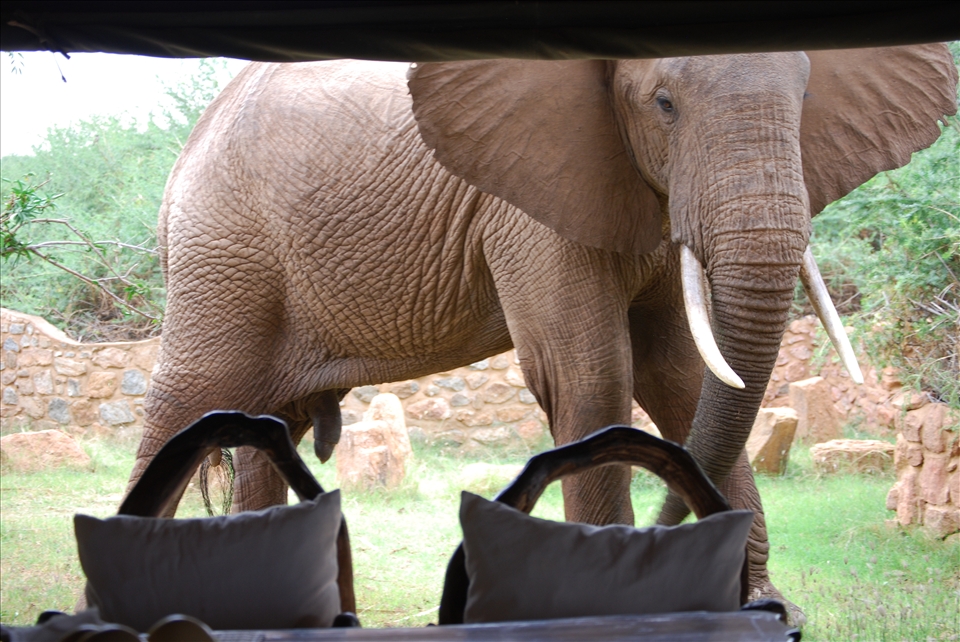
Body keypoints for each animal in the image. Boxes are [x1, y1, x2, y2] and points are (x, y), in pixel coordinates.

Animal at [130, 45, 957, 617]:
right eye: (664, 104)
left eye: (807, 96)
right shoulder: (529, 203)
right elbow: (594, 378)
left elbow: (686, 377)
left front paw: (759, 608)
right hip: (222, 253)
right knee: (187, 403)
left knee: (270, 430)